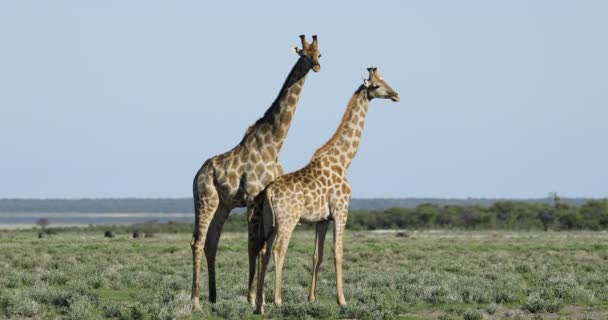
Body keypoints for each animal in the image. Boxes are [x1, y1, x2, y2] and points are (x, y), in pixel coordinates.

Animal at [191, 35, 324, 310]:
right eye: (304, 55)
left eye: (320, 53)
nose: (317, 66)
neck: (273, 144)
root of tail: (197, 174)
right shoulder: (253, 198)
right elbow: (253, 247)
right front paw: (252, 298)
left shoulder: (263, 201)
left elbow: (262, 247)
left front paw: (258, 297)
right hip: (205, 200)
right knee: (197, 242)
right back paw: (195, 299)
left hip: (223, 205)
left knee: (211, 243)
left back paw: (213, 297)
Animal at [252, 66, 400, 314]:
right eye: (377, 85)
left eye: (385, 79)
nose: (396, 95)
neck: (344, 160)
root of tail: (269, 193)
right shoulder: (341, 211)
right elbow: (338, 253)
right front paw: (342, 300)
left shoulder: (322, 219)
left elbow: (316, 255)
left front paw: (311, 298)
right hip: (287, 220)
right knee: (278, 250)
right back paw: (277, 300)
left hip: (268, 222)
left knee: (263, 251)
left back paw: (259, 304)